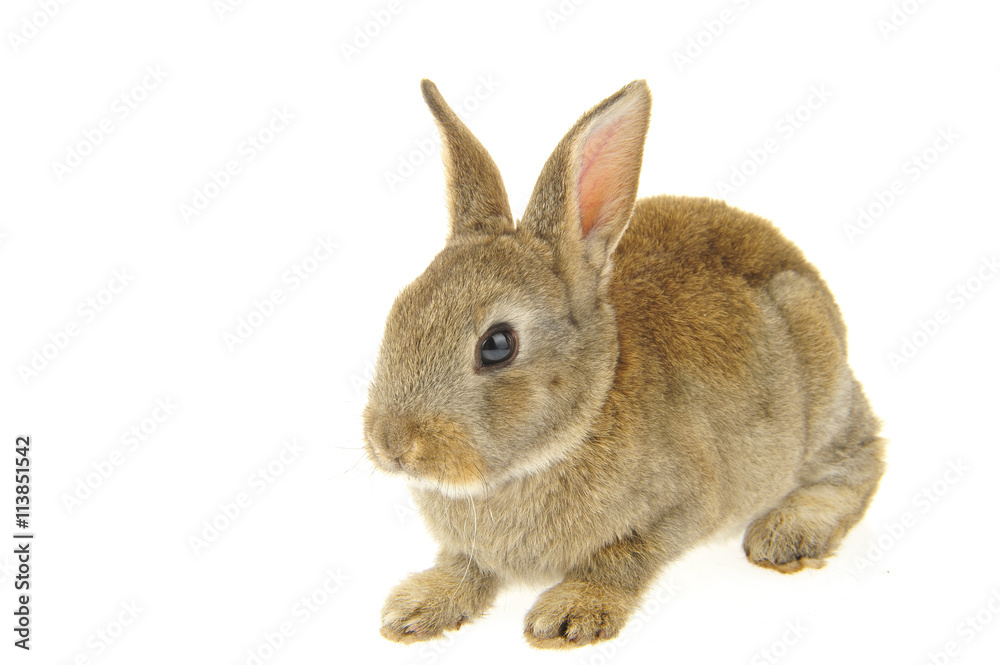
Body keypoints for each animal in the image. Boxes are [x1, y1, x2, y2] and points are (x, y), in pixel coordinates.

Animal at [362, 78, 885, 649]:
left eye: (497, 345)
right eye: (399, 309)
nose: (392, 445)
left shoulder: (686, 507)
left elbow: (623, 555)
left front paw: (569, 615)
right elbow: (466, 566)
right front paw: (417, 608)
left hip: (820, 393)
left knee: (863, 458)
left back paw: (788, 531)